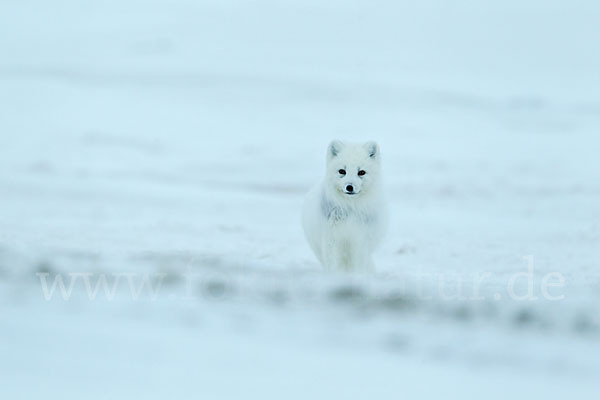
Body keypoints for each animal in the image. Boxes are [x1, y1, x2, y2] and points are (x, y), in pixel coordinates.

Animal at [302, 141, 386, 272]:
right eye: (342, 171)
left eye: (361, 172)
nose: (349, 187)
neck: (350, 207)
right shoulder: (331, 239)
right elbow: (333, 264)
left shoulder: (360, 240)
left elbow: (359, 265)